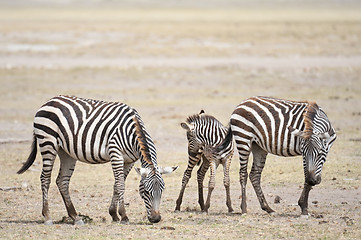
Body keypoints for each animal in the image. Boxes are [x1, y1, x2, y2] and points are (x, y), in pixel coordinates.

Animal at [16, 95, 177, 225]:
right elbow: (120, 186)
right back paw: (48, 217)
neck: (133, 131)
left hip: (66, 152)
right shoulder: (115, 154)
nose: (156, 219)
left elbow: (117, 185)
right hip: (47, 142)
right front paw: (124, 216)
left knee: (62, 181)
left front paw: (114, 214)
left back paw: (75, 217)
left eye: (162, 191)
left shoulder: (129, 161)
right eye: (146, 192)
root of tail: (49, 101)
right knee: (45, 178)